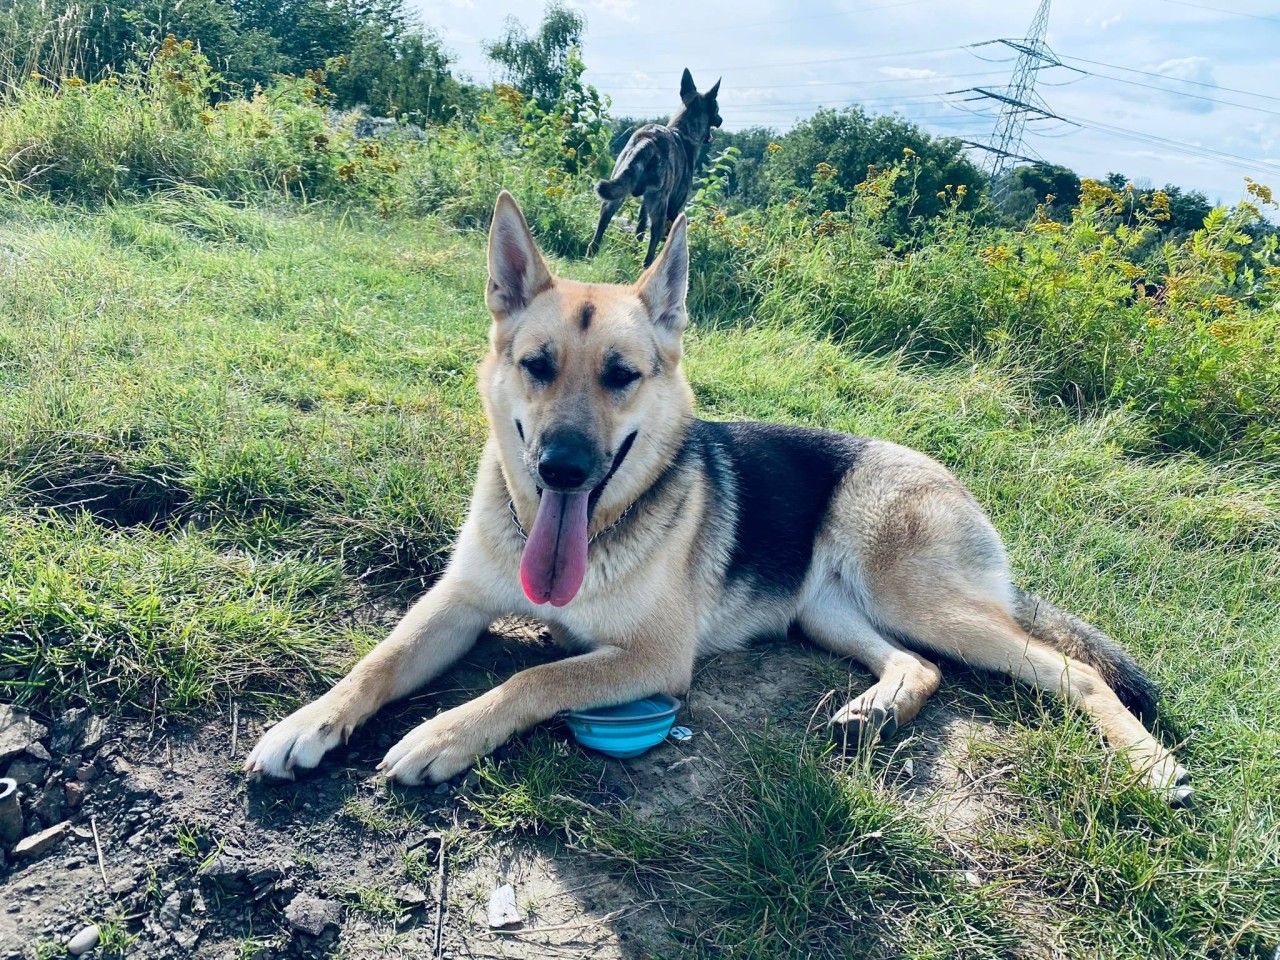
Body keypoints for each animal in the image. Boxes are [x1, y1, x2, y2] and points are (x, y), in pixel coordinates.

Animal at [247, 192, 1187, 808]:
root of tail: (939, 468)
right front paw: (309, 722)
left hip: (920, 599)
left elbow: (535, 676)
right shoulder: (455, 605)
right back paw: (879, 707)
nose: (562, 469)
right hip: (826, 613)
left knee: (1068, 670)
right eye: (537, 365)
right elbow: (379, 660)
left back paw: (1150, 767)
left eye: (621, 376)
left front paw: (442, 736)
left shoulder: (654, 660)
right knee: (919, 666)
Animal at [586, 68, 721, 267]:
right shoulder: (674, 207)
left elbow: (639, 230)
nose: (721, 119)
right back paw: (649, 265)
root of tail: (648, 139)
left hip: (614, 198)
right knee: (653, 243)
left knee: (599, 232)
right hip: (660, 205)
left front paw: (633, 251)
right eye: (717, 109)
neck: (683, 133)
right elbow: (667, 236)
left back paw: (591, 255)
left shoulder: (643, 205)